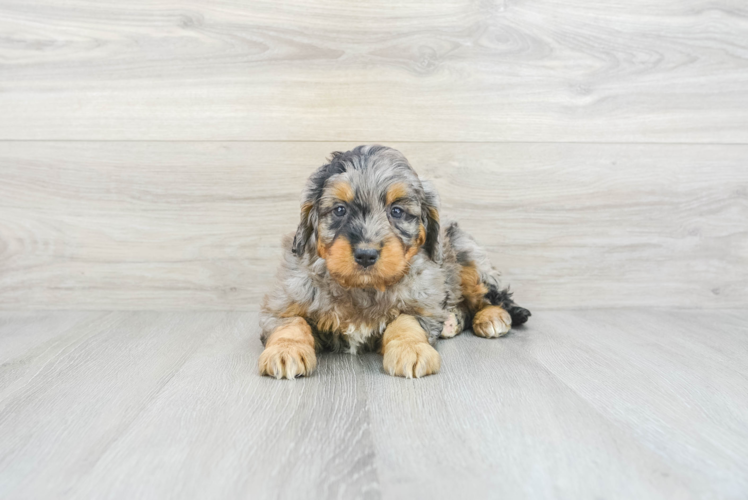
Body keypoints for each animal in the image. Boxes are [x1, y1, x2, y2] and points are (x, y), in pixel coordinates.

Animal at [260, 145, 528, 378]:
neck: (363, 287)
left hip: (467, 255)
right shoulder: (283, 301)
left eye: (397, 211)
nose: (366, 255)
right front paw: (285, 350)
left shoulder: (422, 304)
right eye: (339, 210)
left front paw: (412, 349)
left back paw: (491, 317)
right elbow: (291, 323)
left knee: (492, 294)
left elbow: (405, 322)